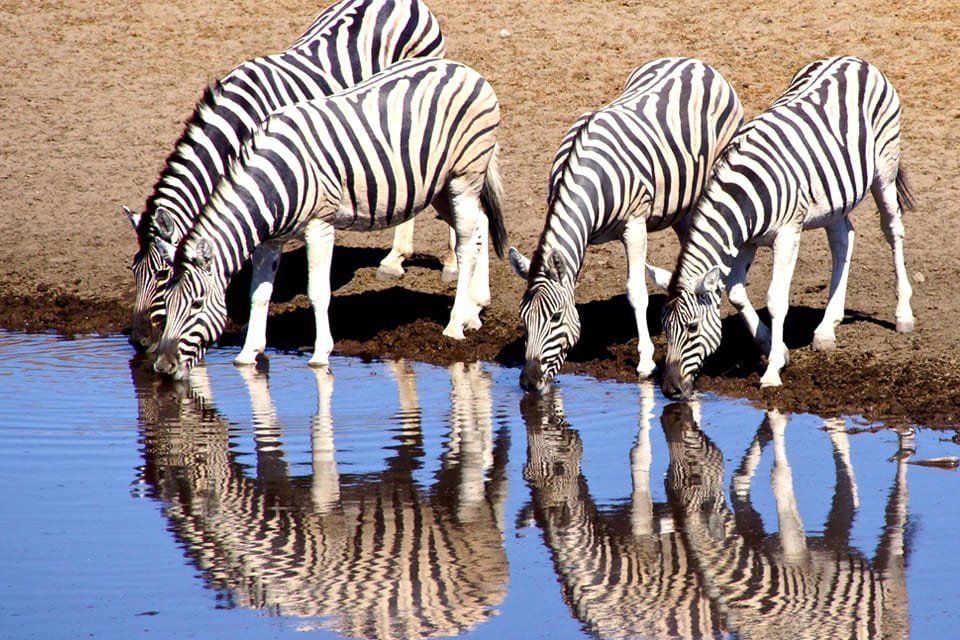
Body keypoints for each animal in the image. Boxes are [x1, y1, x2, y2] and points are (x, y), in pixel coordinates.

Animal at [124, 0, 450, 360]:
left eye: (163, 274)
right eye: (133, 270)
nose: (139, 340)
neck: (236, 126)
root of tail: (397, 2)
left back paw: (435, 263)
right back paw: (396, 258)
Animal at [153, 56, 506, 380]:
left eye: (197, 304)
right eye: (166, 302)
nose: (162, 366)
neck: (275, 181)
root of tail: (462, 68)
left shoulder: (319, 226)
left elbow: (318, 292)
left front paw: (321, 353)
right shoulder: (270, 241)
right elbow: (259, 294)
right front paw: (248, 353)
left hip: (464, 175)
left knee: (465, 245)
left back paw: (455, 324)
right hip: (439, 186)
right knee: (480, 226)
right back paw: (475, 310)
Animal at [510, 58, 744, 390]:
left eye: (555, 318)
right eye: (523, 317)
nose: (529, 383)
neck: (586, 178)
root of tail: (693, 62)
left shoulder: (634, 225)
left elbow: (636, 291)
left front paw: (645, 361)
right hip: (681, 202)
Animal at [660, 55, 916, 398]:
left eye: (691, 327)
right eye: (664, 327)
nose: (669, 390)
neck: (745, 192)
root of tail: (854, 59)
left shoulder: (787, 235)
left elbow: (775, 300)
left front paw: (771, 373)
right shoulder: (745, 240)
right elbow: (736, 292)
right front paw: (776, 349)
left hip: (884, 169)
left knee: (892, 230)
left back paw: (903, 314)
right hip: (835, 198)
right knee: (843, 239)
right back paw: (826, 328)